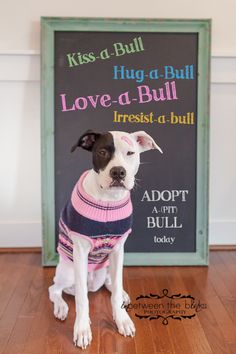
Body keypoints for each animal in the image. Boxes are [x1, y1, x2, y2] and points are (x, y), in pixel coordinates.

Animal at [48, 129, 162, 348]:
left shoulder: (118, 250)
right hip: (68, 271)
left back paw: (122, 295)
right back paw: (61, 307)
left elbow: (115, 290)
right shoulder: (80, 252)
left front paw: (122, 319)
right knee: (56, 289)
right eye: (102, 152)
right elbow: (82, 300)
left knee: (111, 283)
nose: (118, 172)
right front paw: (82, 329)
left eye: (130, 153)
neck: (109, 201)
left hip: (108, 265)